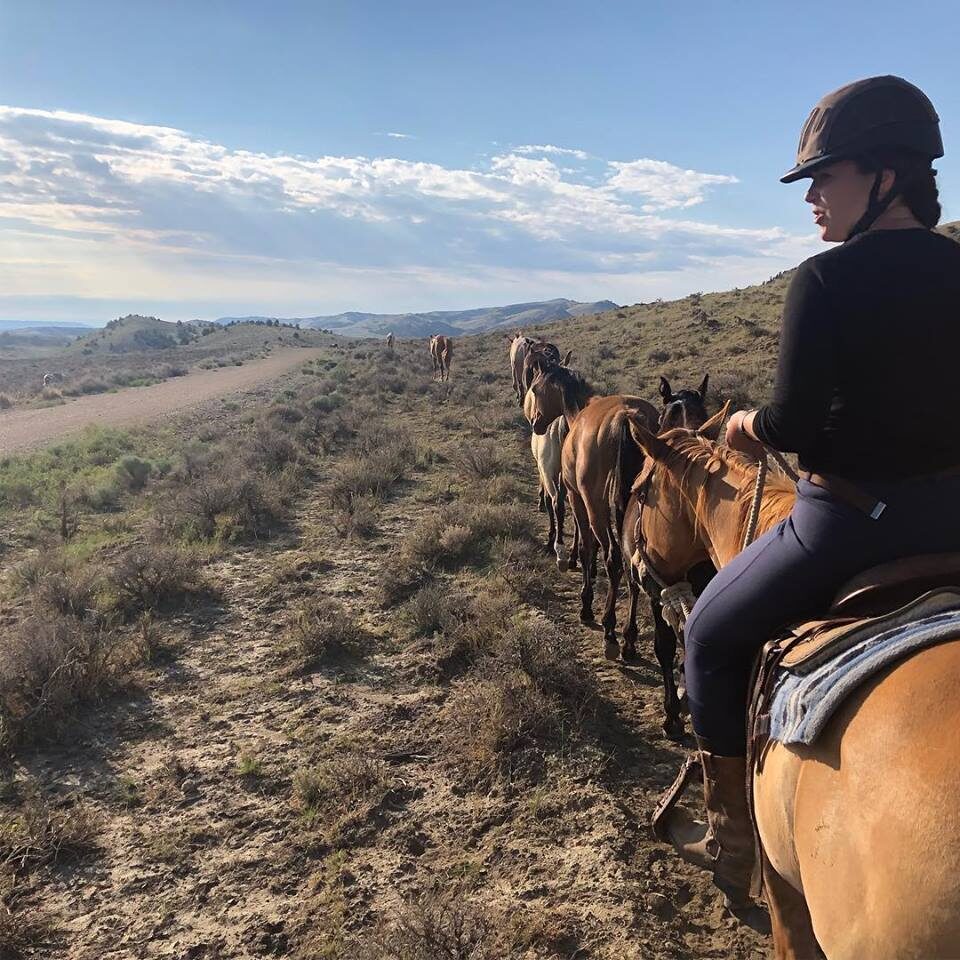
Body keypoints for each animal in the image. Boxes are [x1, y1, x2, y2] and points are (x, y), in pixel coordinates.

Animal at [524, 364, 660, 656]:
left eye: (535, 389)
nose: (535, 423)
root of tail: (626, 417)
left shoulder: (577, 498)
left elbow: (588, 546)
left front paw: (586, 602)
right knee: (631, 564)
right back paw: (629, 638)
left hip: (595, 505)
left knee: (614, 558)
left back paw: (609, 629)